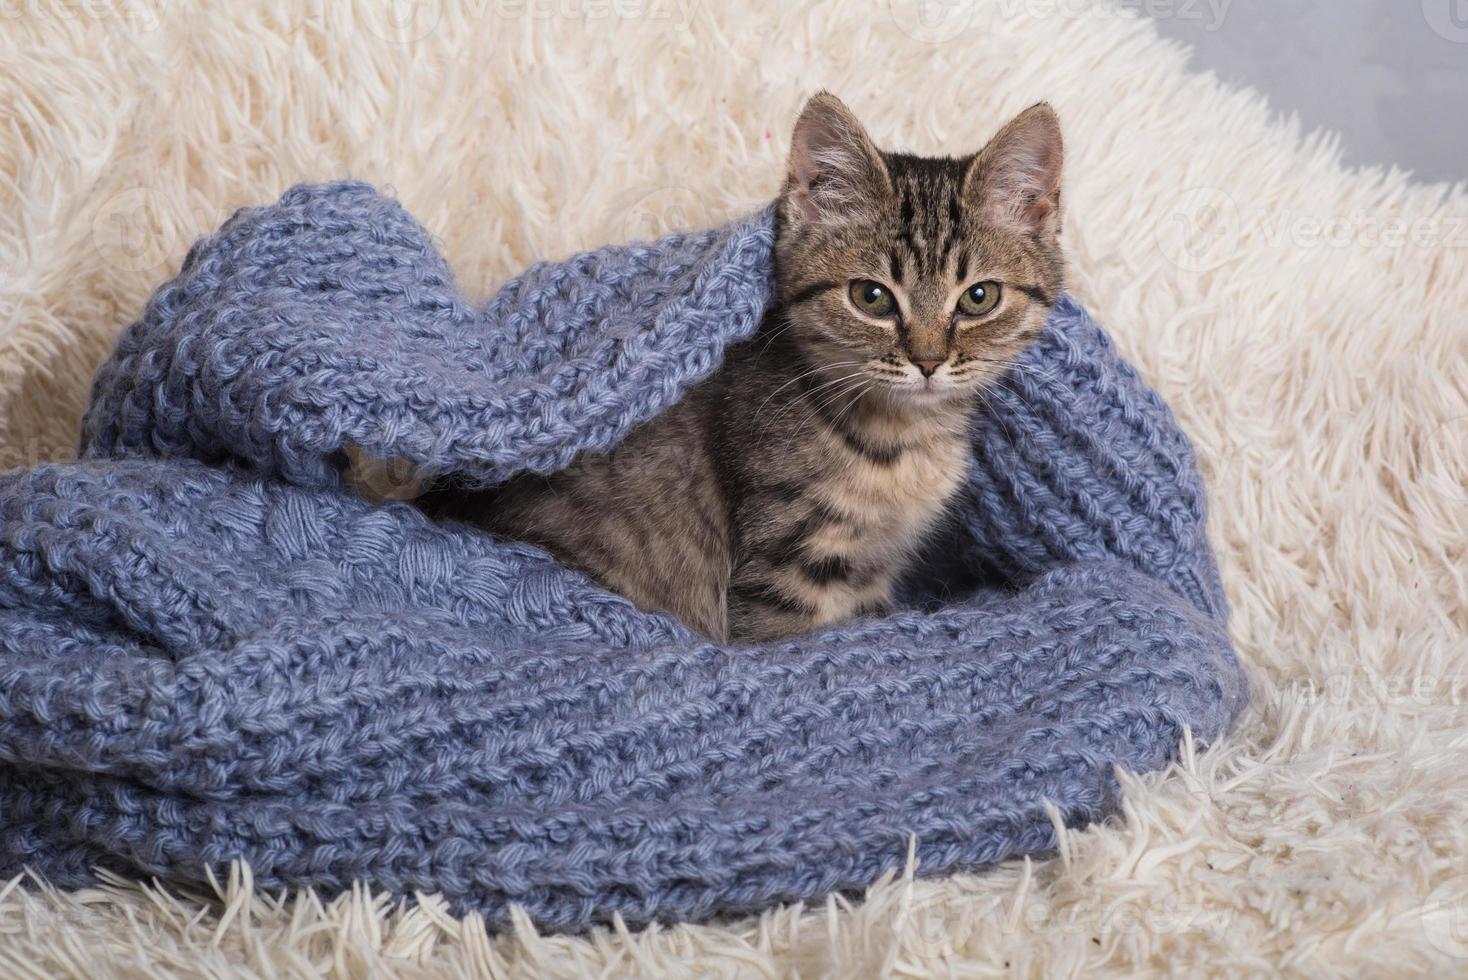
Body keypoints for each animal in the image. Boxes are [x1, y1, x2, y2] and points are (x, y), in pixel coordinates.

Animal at [419, 91, 1062, 642]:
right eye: (871, 297)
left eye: (978, 298)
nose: (927, 361)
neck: (904, 439)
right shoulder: (785, 560)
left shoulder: (872, 566)